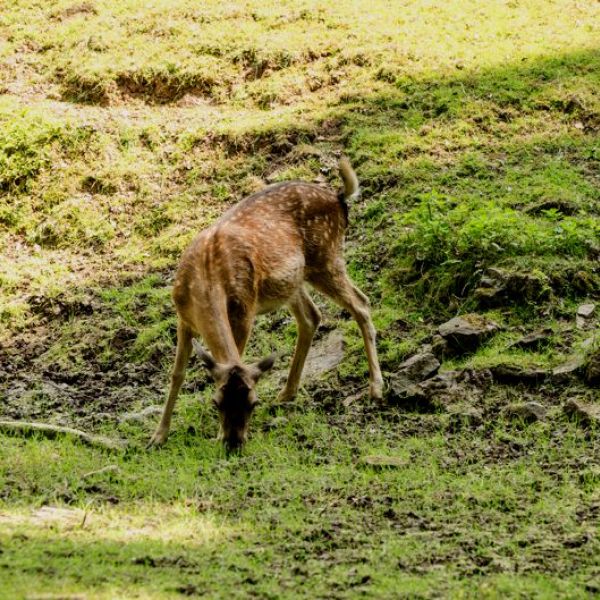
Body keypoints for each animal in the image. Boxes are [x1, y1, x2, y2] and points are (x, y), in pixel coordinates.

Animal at [150, 157, 384, 452]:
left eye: (253, 403)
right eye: (217, 402)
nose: (234, 442)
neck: (204, 280)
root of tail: (339, 197)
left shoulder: (244, 309)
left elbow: (234, 356)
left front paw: (215, 434)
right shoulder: (183, 318)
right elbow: (177, 374)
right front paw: (158, 436)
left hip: (327, 258)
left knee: (361, 304)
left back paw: (376, 388)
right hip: (295, 281)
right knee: (312, 316)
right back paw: (287, 392)